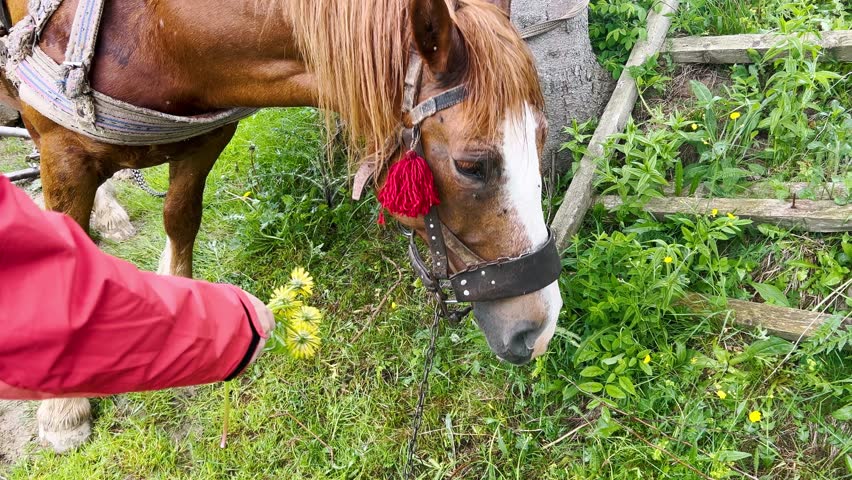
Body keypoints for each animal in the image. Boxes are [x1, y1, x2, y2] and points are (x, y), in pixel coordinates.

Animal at [1, 0, 564, 453]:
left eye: (541, 137)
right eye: (472, 166)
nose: (540, 328)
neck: (158, 35)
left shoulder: (205, 142)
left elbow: (181, 219)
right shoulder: (62, 152)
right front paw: (64, 407)